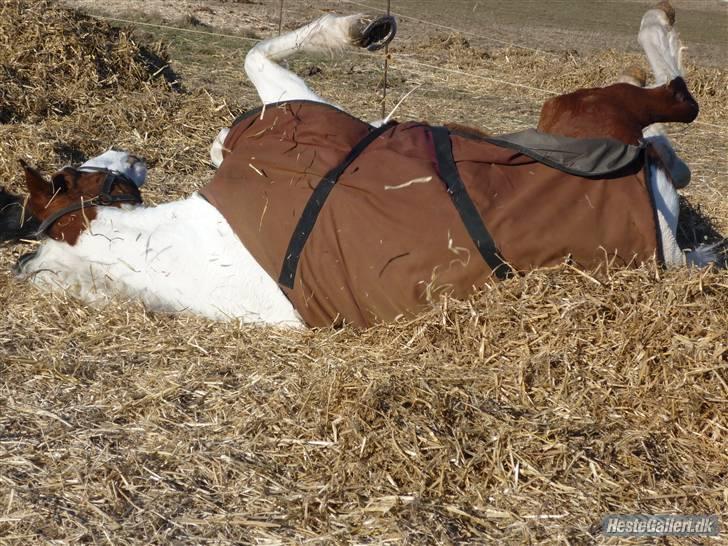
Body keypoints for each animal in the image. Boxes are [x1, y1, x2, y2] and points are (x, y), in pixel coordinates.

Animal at [0, 2, 720, 326]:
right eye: (78, 170)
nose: (133, 154)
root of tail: (667, 249)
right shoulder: (292, 107)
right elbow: (261, 51)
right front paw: (363, 28)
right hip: (577, 113)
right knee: (674, 108)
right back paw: (658, 32)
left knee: (672, 135)